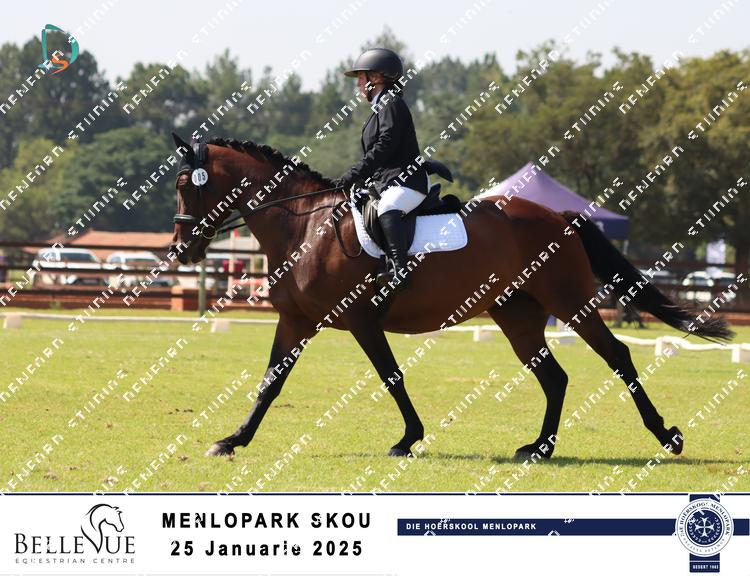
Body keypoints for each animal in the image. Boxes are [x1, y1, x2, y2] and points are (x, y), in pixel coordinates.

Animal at [168, 133, 733, 460]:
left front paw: (407, 438)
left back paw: (667, 436)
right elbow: (270, 383)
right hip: (518, 315)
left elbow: (390, 378)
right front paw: (232, 440)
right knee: (554, 377)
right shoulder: (296, 321)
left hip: (571, 303)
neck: (306, 227)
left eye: (186, 184)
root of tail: (560, 216)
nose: (181, 250)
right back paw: (539, 449)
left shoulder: (361, 321)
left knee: (617, 356)